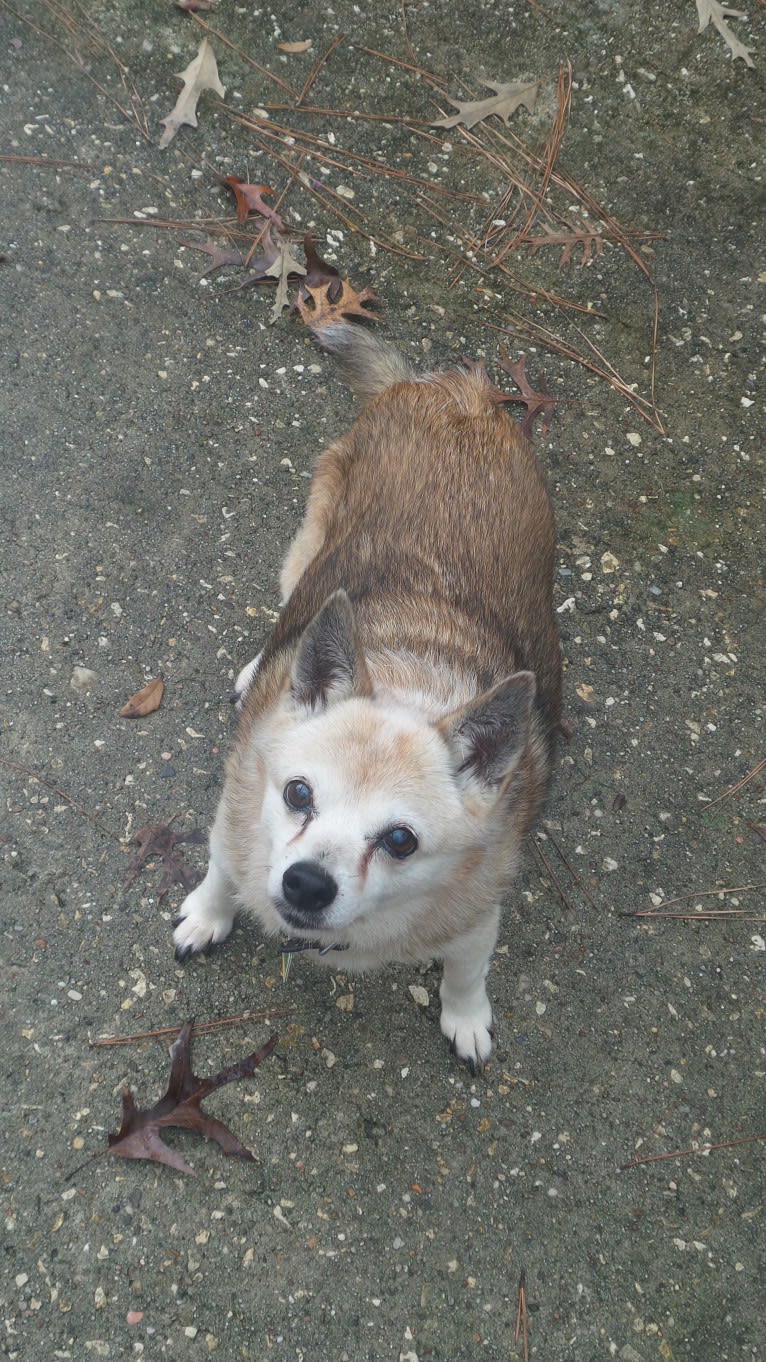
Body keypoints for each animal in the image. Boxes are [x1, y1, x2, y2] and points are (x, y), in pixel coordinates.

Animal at [175, 324, 564, 1067]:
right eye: (298, 793)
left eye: (400, 841)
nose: (306, 883)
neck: (413, 684)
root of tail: (454, 390)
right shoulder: (232, 828)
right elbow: (219, 875)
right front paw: (207, 917)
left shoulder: (477, 915)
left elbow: (468, 971)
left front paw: (466, 1017)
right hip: (305, 551)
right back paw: (260, 667)